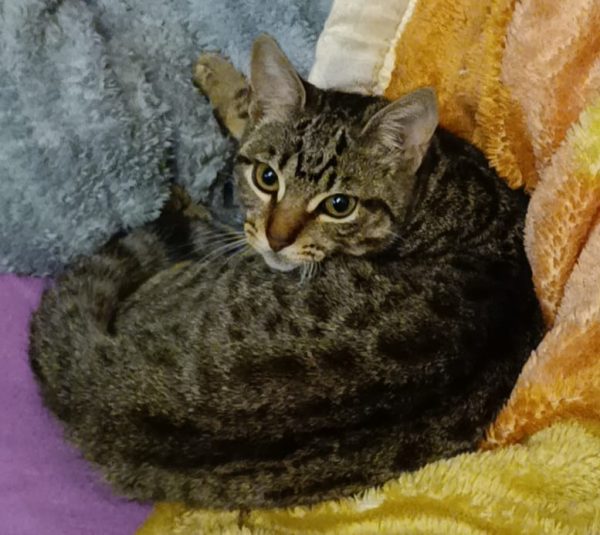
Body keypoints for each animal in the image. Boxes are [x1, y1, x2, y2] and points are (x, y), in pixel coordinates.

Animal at [29, 35, 544, 509]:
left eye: (340, 204)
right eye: (267, 178)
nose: (277, 238)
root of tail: (99, 396)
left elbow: (243, 116)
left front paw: (220, 78)